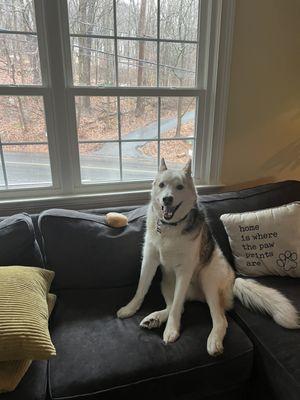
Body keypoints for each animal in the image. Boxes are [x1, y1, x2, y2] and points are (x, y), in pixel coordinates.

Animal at [116, 158, 298, 354]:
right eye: (162, 185)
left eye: (179, 187)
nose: (167, 199)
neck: (169, 227)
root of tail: (234, 279)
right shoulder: (149, 261)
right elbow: (141, 289)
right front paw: (130, 308)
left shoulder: (184, 271)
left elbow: (176, 306)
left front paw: (171, 329)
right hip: (166, 282)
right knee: (178, 307)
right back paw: (155, 318)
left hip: (207, 278)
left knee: (218, 319)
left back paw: (214, 341)